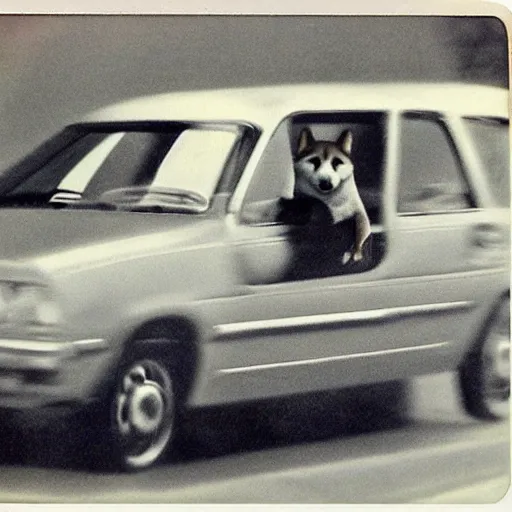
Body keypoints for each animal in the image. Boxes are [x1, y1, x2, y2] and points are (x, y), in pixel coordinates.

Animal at [292, 128, 372, 264]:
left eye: (336, 162)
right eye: (314, 161)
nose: (326, 183)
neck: (331, 200)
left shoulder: (359, 211)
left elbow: (361, 227)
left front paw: (356, 252)